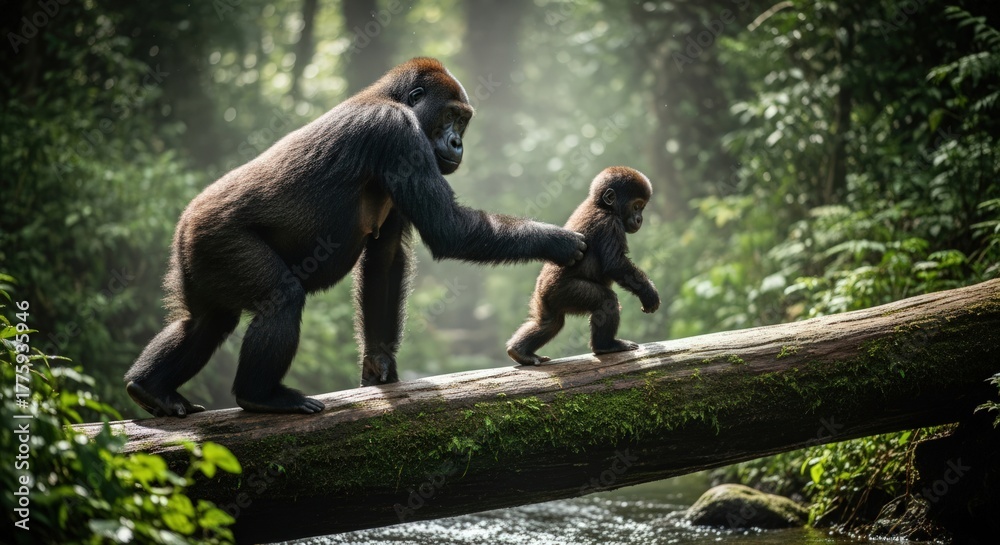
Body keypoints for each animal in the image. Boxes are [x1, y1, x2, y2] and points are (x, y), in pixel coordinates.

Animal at [123, 58, 588, 417]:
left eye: (463, 121)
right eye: (451, 117)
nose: (457, 143)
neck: (392, 98)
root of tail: (184, 222)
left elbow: (384, 259)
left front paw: (378, 359)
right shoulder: (397, 134)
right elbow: (448, 228)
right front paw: (557, 241)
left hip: (194, 255)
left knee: (206, 321)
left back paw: (150, 388)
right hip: (215, 237)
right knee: (279, 297)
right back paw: (260, 397)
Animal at [506, 166, 659, 365]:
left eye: (642, 208)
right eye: (636, 206)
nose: (640, 219)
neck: (601, 206)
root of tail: (542, 289)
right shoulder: (609, 223)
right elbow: (615, 264)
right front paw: (648, 292)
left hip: (544, 298)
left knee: (550, 322)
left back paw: (520, 351)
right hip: (563, 291)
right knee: (606, 300)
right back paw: (605, 346)